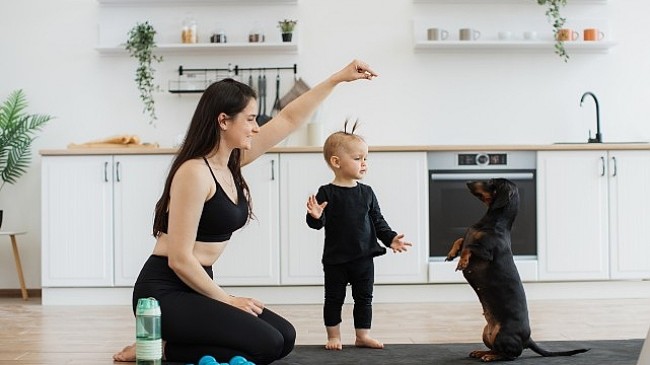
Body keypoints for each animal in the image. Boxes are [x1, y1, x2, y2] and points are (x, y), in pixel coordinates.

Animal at [446, 178, 588, 360]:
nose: (468, 181)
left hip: (502, 335)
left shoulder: (486, 252)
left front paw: (462, 262)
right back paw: (482, 352)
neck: (492, 223)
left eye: (490, 182)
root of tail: (527, 339)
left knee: (511, 355)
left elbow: (469, 247)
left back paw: (491, 357)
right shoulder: (466, 239)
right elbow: (459, 240)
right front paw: (451, 254)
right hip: (487, 333)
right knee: (497, 349)